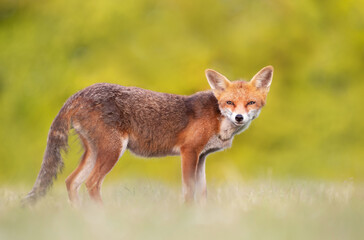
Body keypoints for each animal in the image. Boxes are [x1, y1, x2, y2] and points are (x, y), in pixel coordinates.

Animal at [24, 65, 272, 204]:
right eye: (229, 102)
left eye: (250, 103)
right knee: (91, 184)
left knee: (71, 182)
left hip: (94, 153)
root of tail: (79, 93)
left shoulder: (201, 157)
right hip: (113, 151)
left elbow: (202, 193)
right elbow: (189, 191)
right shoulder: (189, 152)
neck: (217, 118)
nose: (239, 117)